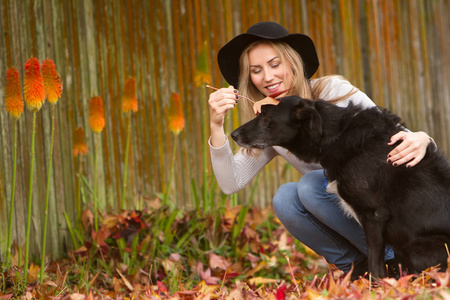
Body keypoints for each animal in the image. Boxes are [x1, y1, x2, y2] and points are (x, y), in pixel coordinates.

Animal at [232, 95, 450, 276]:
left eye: (266, 116)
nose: (233, 134)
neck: (337, 135)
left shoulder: (373, 216)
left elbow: (375, 263)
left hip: (419, 247)